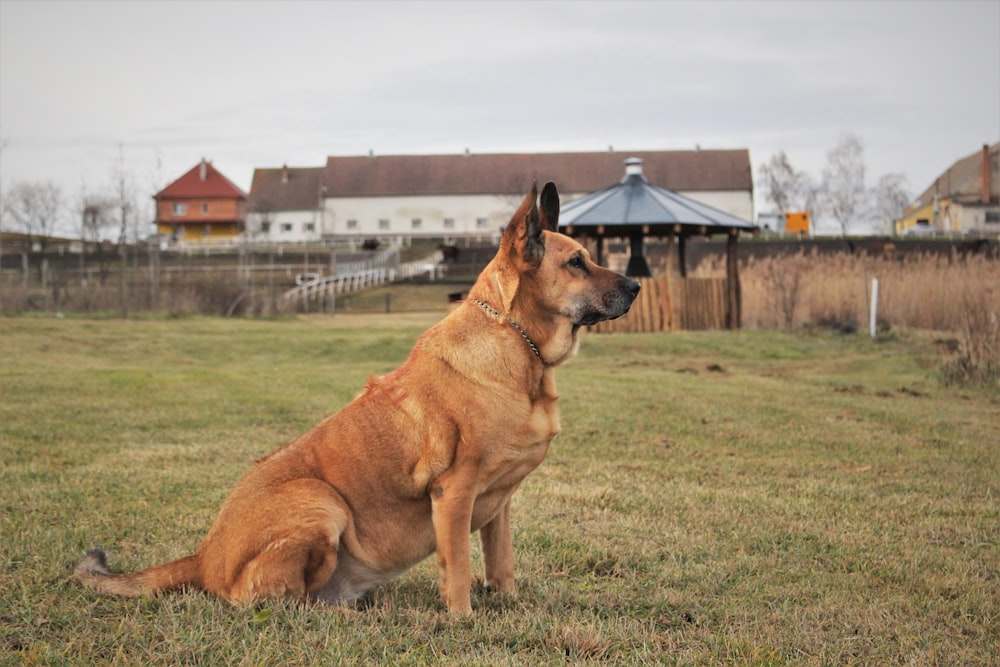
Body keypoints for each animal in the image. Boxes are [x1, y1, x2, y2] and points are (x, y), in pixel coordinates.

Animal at [78, 180, 640, 612]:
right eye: (577, 263)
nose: (636, 286)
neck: (516, 343)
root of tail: (203, 558)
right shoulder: (454, 495)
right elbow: (458, 569)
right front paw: (462, 621)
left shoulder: (498, 504)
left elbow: (501, 567)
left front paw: (508, 607)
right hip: (322, 503)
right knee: (274, 603)